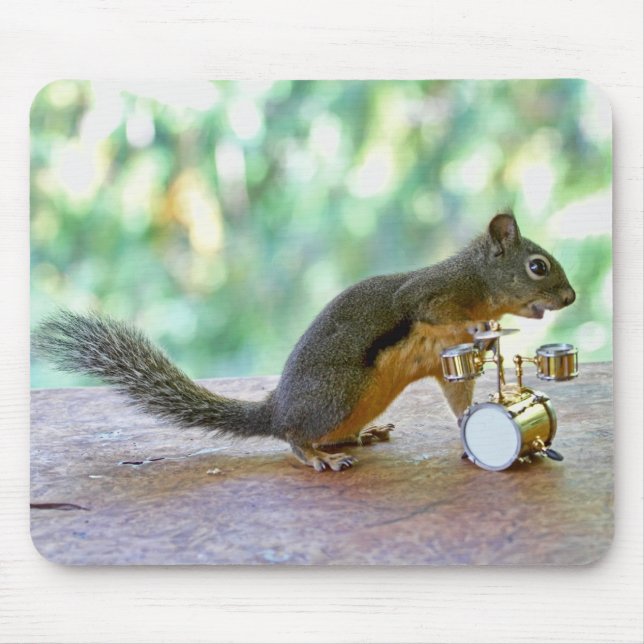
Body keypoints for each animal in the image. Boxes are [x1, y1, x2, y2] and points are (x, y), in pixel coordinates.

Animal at [33, 212, 576, 472]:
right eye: (537, 266)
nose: (570, 297)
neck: (478, 282)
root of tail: (275, 410)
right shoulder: (431, 295)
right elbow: (431, 312)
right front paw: (480, 330)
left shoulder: (450, 363)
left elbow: (461, 399)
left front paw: (469, 429)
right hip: (339, 392)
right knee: (293, 439)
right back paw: (320, 456)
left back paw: (359, 437)